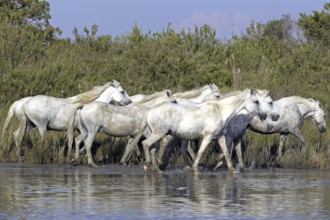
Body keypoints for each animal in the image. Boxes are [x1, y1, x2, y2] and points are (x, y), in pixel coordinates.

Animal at [2, 80, 131, 161]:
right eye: (122, 91)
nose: (129, 102)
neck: (86, 105)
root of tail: (24, 102)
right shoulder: (83, 129)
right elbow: (80, 142)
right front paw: (75, 156)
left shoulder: (77, 130)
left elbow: (72, 142)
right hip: (40, 126)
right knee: (39, 140)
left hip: (29, 125)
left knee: (17, 136)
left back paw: (19, 157)